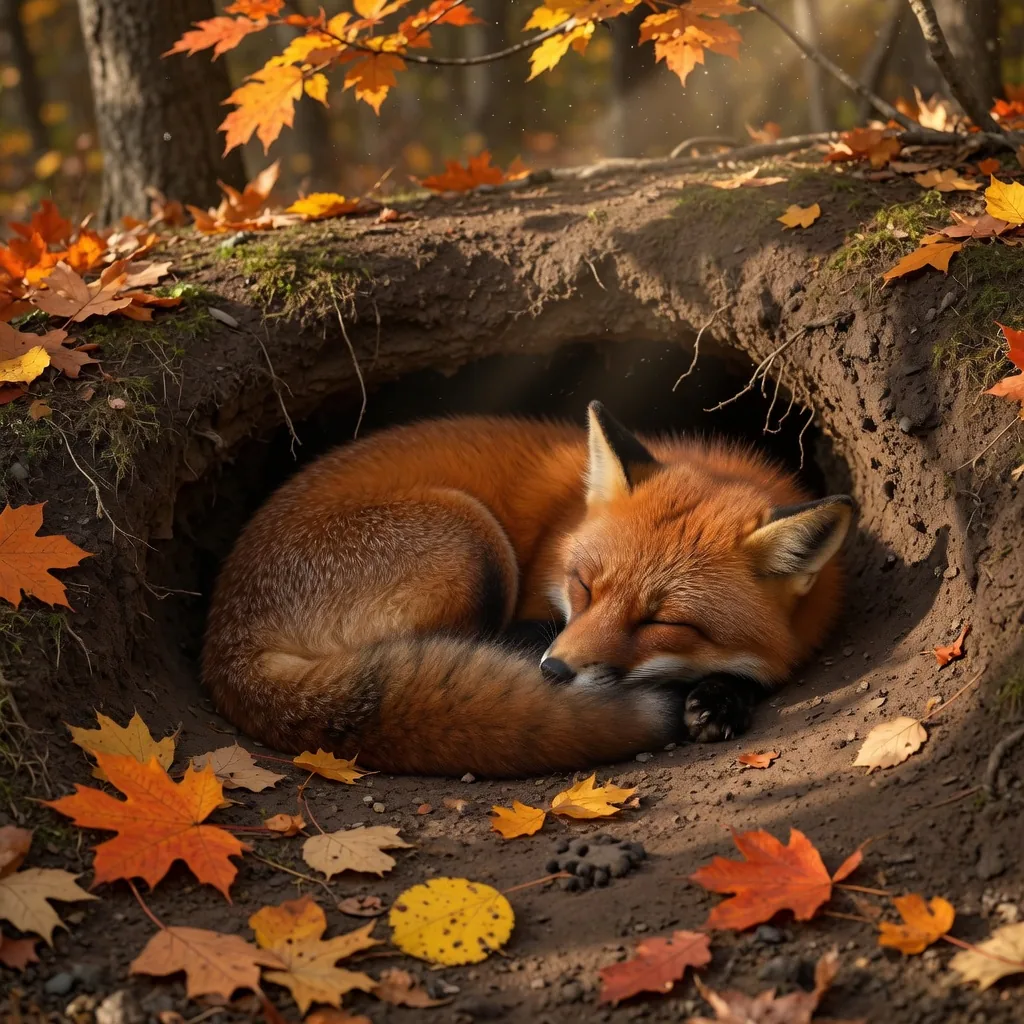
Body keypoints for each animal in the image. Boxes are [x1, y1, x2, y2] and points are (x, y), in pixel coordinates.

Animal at [201, 401, 854, 778]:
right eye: (584, 586)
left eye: (660, 622)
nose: (555, 673)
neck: (561, 528)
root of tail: (224, 646)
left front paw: (722, 697)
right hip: (471, 538)